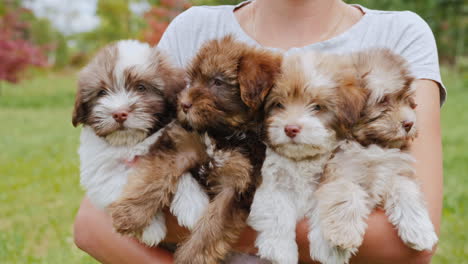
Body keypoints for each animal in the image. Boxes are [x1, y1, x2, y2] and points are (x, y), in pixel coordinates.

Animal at [74, 40, 207, 246]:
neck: (131, 143)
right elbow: (121, 183)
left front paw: (193, 205)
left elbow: (176, 173)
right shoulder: (98, 173)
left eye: (141, 88)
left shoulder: (174, 146)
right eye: (102, 92)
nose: (119, 113)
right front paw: (150, 228)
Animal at [249, 50, 370, 264]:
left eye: (317, 107)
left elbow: (340, 194)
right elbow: (278, 210)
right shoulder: (272, 182)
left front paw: (331, 248)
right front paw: (281, 249)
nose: (291, 128)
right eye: (279, 104)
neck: (303, 159)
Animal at [310, 48, 438, 262]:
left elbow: (405, 188)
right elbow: (346, 191)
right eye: (383, 100)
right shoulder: (338, 169)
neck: (371, 145)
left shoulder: (397, 168)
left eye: (407, 99)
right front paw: (341, 239)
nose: (409, 123)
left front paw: (420, 230)